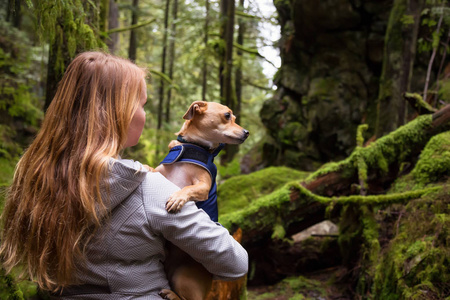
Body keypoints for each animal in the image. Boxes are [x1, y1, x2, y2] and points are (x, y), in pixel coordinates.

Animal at [156, 101, 248, 300]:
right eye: (227, 116)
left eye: (234, 117)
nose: (247, 132)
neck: (194, 145)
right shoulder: (160, 172)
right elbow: (149, 168)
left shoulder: (203, 186)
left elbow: (187, 189)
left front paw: (177, 198)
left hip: (183, 276)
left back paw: (171, 294)